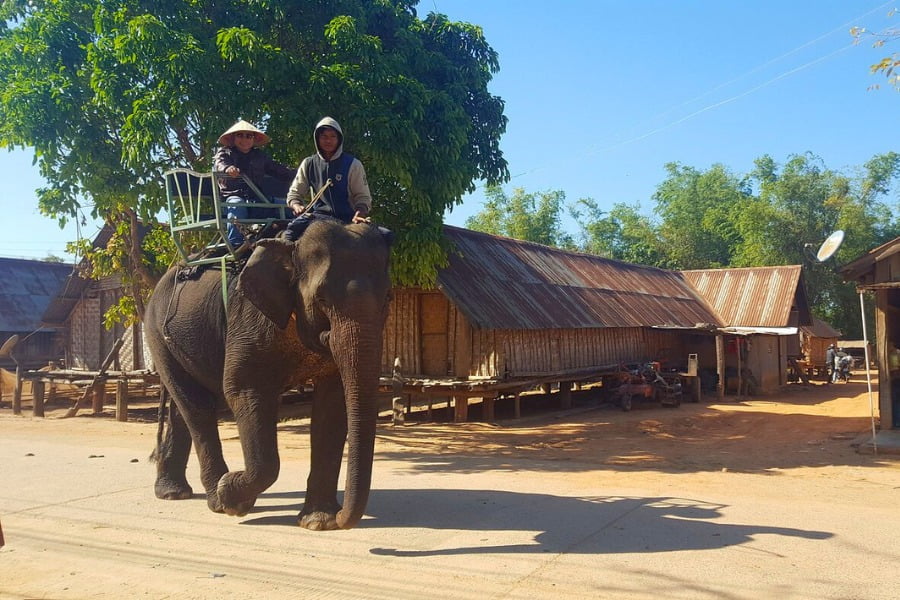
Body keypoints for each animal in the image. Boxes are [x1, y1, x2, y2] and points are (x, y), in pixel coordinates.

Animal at [144, 219, 390, 528]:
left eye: (388, 300)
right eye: (321, 299)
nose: (340, 518)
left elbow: (333, 404)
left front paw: (318, 522)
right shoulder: (248, 319)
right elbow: (244, 389)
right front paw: (232, 496)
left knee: (184, 407)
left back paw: (174, 493)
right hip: (157, 333)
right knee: (196, 407)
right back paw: (215, 499)